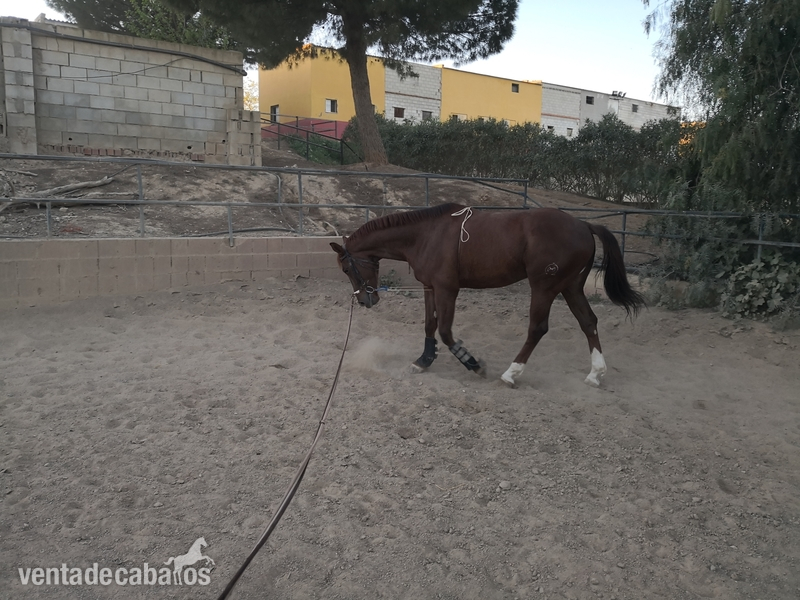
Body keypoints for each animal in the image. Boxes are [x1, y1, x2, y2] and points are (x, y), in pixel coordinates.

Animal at [330, 203, 644, 388]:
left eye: (346, 268)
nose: (365, 300)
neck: (426, 235)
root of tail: (583, 225)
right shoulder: (430, 288)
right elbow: (430, 326)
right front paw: (423, 360)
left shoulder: (447, 289)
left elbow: (446, 331)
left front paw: (473, 364)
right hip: (571, 287)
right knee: (588, 322)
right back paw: (595, 373)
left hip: (544, 287)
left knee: (537, 328)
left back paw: (511, 373)